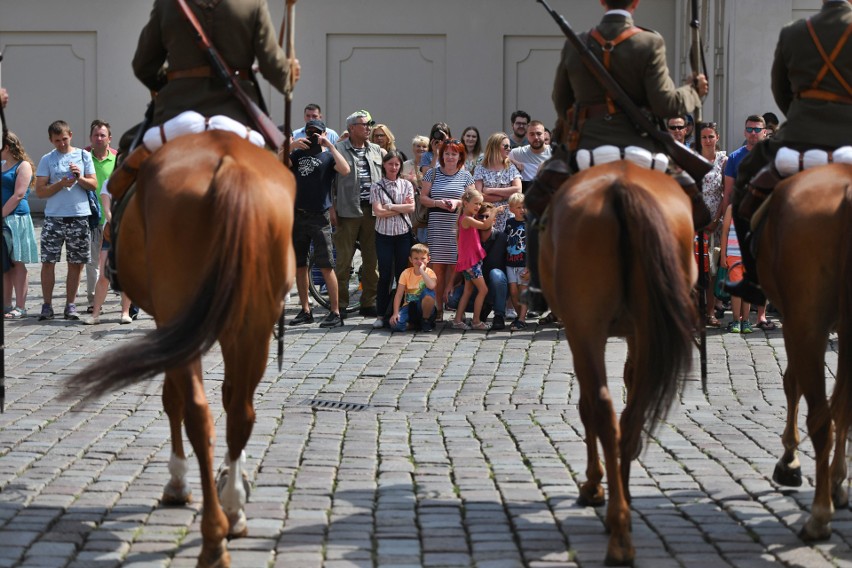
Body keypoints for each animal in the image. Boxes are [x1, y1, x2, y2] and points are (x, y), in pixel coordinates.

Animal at [65, 131, 296, 564]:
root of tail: (229, 164)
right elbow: (229, 397)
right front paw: (233, 485)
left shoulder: (168, 323)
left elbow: (172, 399)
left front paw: (177, 481)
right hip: (255, 324)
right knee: (240, 413)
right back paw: (233, 512)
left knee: (198, 415)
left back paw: (212, 539)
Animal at [540, 161, 700, 564]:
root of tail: (621, 186)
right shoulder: (636, 333)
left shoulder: (578, 331)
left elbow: (585, 407)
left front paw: (594, 484)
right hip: (646, 326)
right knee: (631, 416)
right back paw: (622, 518)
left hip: (586, 326)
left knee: (602, 407)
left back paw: (616, 525)